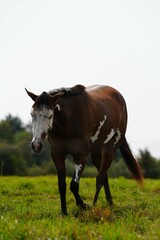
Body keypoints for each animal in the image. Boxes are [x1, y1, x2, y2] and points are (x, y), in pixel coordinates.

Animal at [25, 85, 143, 216]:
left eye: (50, 116)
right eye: (32, 114)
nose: (36, 145)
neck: (69, 120)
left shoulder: (81, 155)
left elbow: (74, 184)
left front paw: (83, 205)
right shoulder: (57, 155)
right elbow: (62, 184)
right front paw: (64, 212)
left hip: (110, 149)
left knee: (100, 178)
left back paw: (95, 205)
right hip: (96, 153)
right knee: (103, 176)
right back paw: (110, 203)